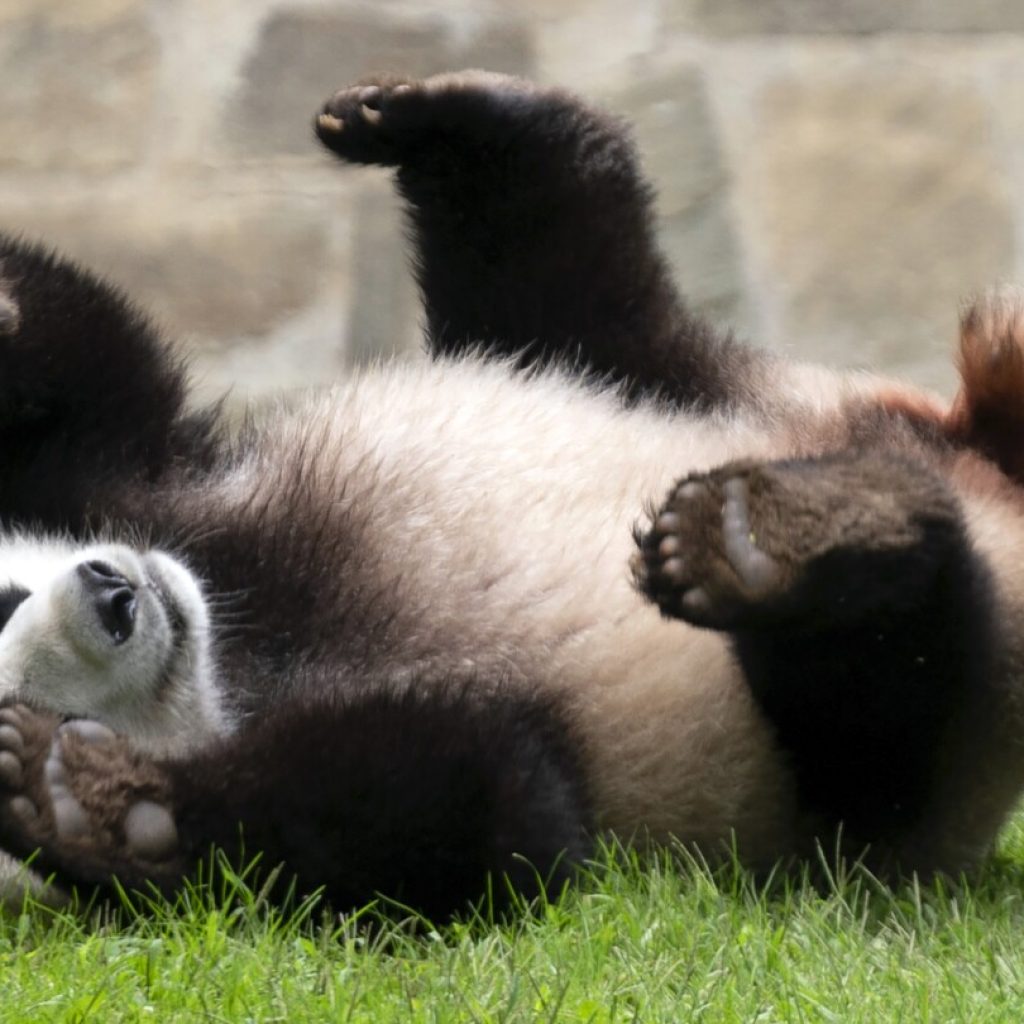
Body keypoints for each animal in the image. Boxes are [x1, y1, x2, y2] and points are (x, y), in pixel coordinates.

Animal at [0, 70, 1024, 921]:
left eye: (8, 594)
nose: (115, 597)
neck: (236, 623)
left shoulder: (135, 484)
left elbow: (107, 376)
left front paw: (8, 310)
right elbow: (486, 809)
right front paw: (100, 810)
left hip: (702, 388)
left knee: (572, 282)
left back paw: (449, 119)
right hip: (876, 778)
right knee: (893, 697)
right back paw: (780, 543)